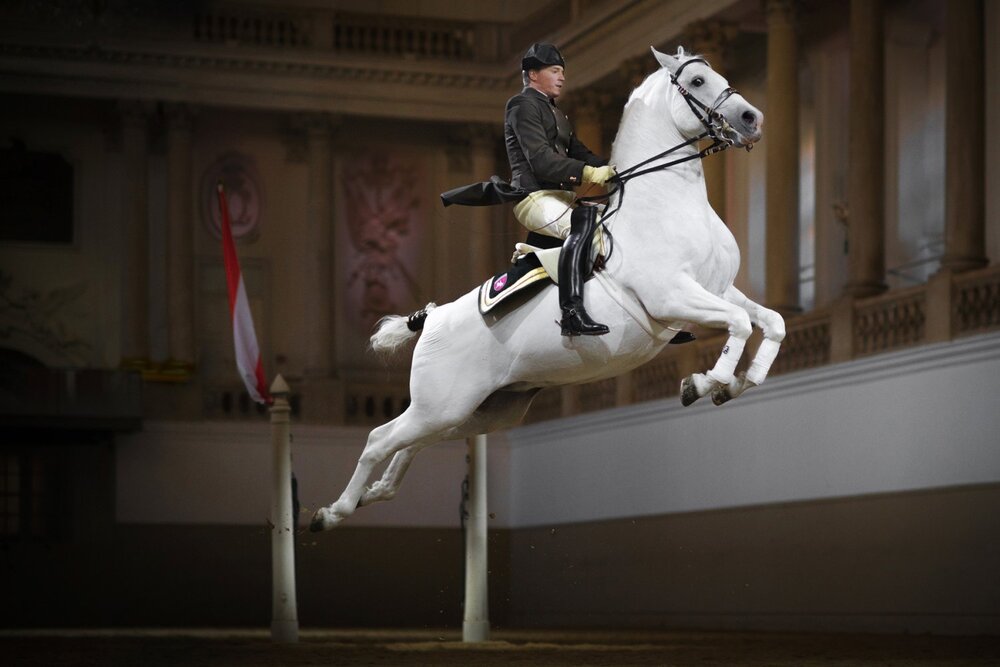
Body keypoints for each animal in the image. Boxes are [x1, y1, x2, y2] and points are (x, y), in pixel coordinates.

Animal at [310, 46, 785, 531]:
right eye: (696, 82)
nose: (752, 118)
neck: (667, 202)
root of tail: (432, 318)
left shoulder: (718, 290)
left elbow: (771, 322)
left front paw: (741, 381)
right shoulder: (671, 295)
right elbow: (739, 326)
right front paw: (704, 382)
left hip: (477, 410)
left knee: (408, 445)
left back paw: (372, 494)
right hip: (440, 404)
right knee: (378, 439)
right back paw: (332, 512)